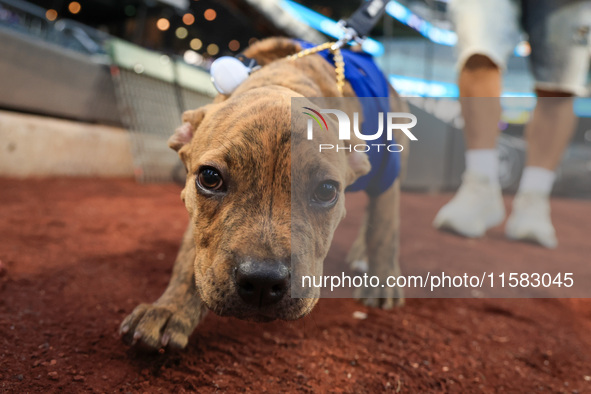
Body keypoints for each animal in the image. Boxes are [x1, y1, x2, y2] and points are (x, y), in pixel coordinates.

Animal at [118, 38, 410, 350]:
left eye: (326, 190)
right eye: (210, 177)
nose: (262, 281)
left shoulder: (386, 176)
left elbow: (384, 232)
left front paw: (384, 282)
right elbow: (189, 256)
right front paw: (170, 309)